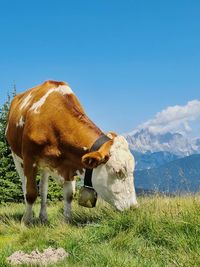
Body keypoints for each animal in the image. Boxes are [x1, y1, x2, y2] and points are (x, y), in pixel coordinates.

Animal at [5, 81, 138, 224]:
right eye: (118, 171)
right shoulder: (30, 158)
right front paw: (26, 222)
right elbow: (30, 193)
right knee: (25, 187)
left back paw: (43, 216)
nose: (134, 207)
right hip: (16, 157)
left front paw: (67, 220)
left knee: (44, 188)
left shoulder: (68, 164)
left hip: (45, 166)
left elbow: (69, 194)